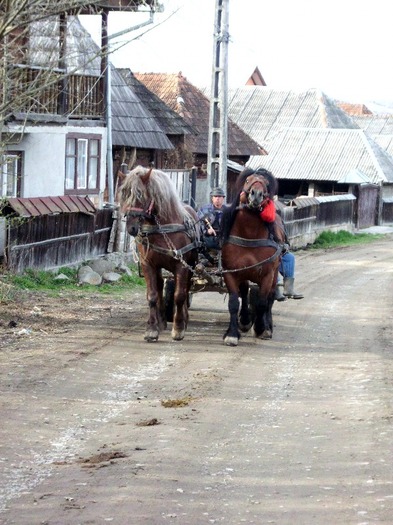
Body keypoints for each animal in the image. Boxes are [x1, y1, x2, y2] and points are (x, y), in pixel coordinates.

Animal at [118, 166, 199, 342]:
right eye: (124, 194)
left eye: (140, 195)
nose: (131, 228)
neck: (161, 230)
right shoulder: (148, 264)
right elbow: (152, 295)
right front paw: (152, 329)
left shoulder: (181, 266)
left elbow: (179, 295)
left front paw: (178, 328)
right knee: (161, 283)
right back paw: (161, 321)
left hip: (190, 265)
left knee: (185, 289)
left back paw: (183, 319)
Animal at [220, 168, 284, 346]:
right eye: (248, 180)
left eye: (266, 183)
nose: (256, 194)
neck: (249, 235)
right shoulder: (231, 272)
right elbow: (234, 302)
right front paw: (232, 333)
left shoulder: (268, 274)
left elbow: (262, 302)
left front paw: (261, 327)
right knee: (244, 292)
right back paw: (245, 320)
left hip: (274, 272)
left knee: (270, 298)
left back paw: (267, 326)